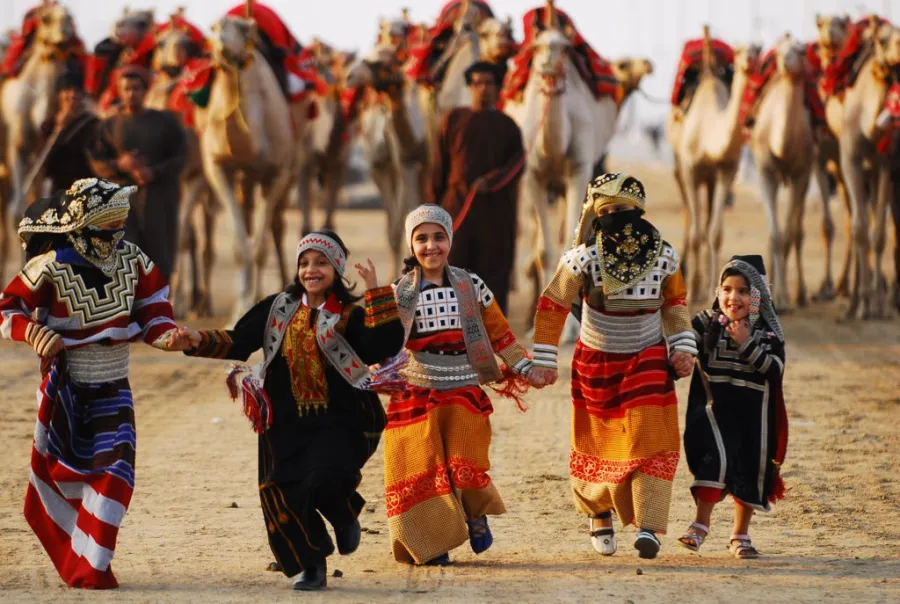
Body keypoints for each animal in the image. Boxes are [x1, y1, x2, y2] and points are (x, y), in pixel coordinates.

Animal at [195, 7, 294, 324]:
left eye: (244, 32)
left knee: (274, 226)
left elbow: (260, 247)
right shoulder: (218, 168)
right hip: (243, 180)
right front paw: (240, 308)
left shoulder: (277, 172)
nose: (221, 46)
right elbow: (241, 246)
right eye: (214, 27)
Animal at [668, 26, 760, 304]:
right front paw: (694, 290)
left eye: (758, 49)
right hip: (680, 168)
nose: (750, 60)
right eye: (740, 50)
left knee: (706, 220)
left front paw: (713, 288)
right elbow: (698, 234)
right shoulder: (691, 172)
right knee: (689, 216)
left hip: (709, 180)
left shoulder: (724, 172)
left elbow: (715, 233)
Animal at [744, 33, 816, 310]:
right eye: (778, 52)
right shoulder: (766, 171)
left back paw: (801, 294)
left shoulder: (800, 174)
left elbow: (786, 236)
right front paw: (774, 296)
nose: (786, 61)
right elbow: (775, 235)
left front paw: (785, 299)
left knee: (796, 230)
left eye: (801, 50)